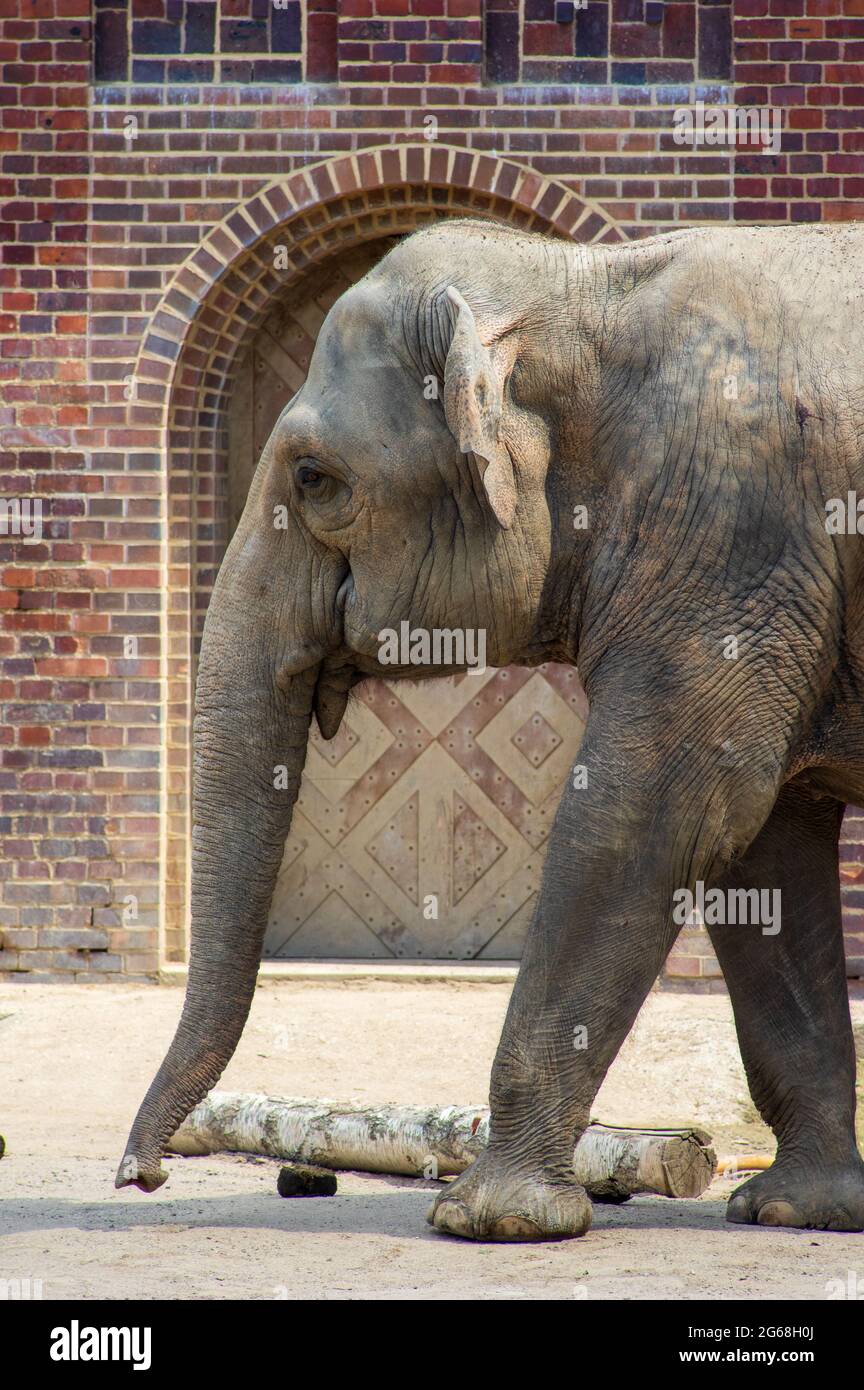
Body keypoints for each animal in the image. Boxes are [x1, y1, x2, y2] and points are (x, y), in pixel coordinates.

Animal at [117, 217, 864, 1241]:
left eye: (313, 478)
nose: (140, 1175)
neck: (587, 285)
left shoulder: (730, 542)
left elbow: (658, 809)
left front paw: (488, 1221)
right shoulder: (765, 578)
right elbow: (764, 846)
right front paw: (797, 1210)